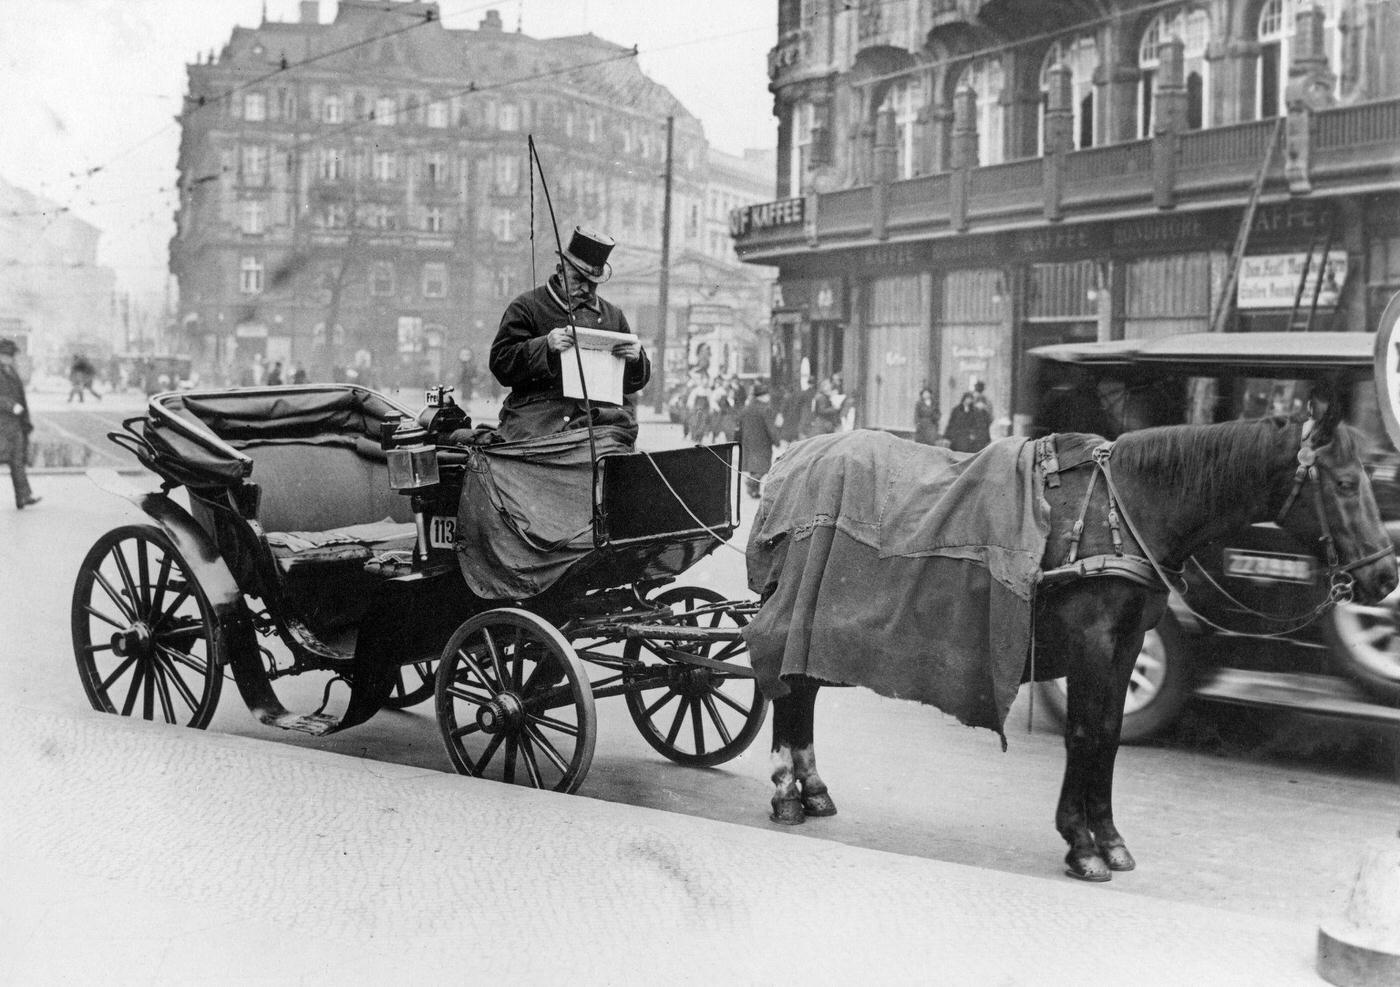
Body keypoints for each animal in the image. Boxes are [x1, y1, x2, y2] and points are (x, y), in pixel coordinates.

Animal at [750, 403, 1394, 879]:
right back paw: (785, 791)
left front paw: (1106, 836)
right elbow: (1084, 734)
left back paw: (811, 787)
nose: (1386, 577)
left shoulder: (1127, 645)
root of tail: (797, 455)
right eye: (1344, 483)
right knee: (786, 686)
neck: (1128, 508)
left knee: (801, 690)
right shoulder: (1093, 643)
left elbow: (1107, 735)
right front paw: (1081, 843)